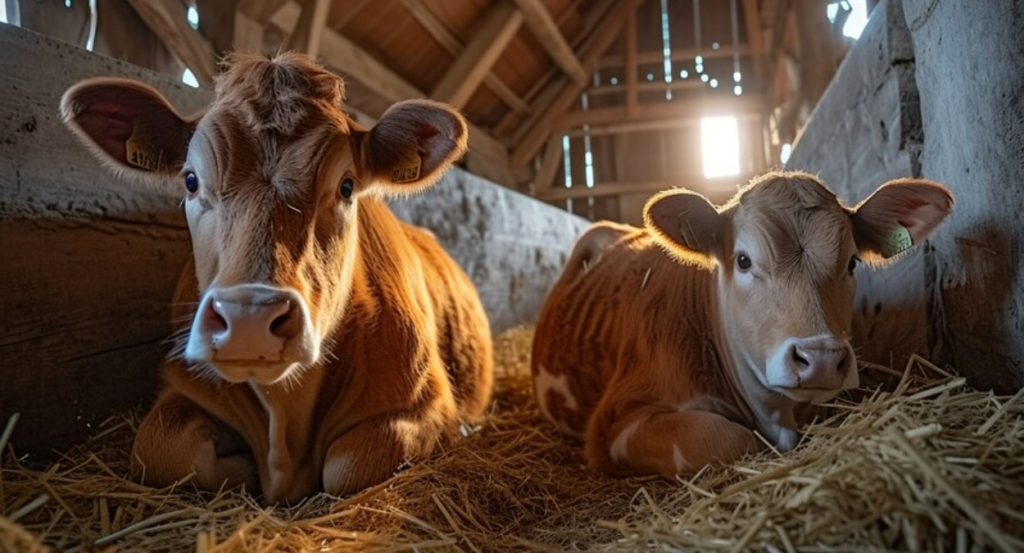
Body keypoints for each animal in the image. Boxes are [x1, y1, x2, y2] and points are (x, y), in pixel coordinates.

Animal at [61, 54, 493, 503]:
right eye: (191, 180)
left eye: (347, 186)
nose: (249, 321)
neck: (285, 414)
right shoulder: (181, 388)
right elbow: (163, 449)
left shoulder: (427, 407)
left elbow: (348, 466)